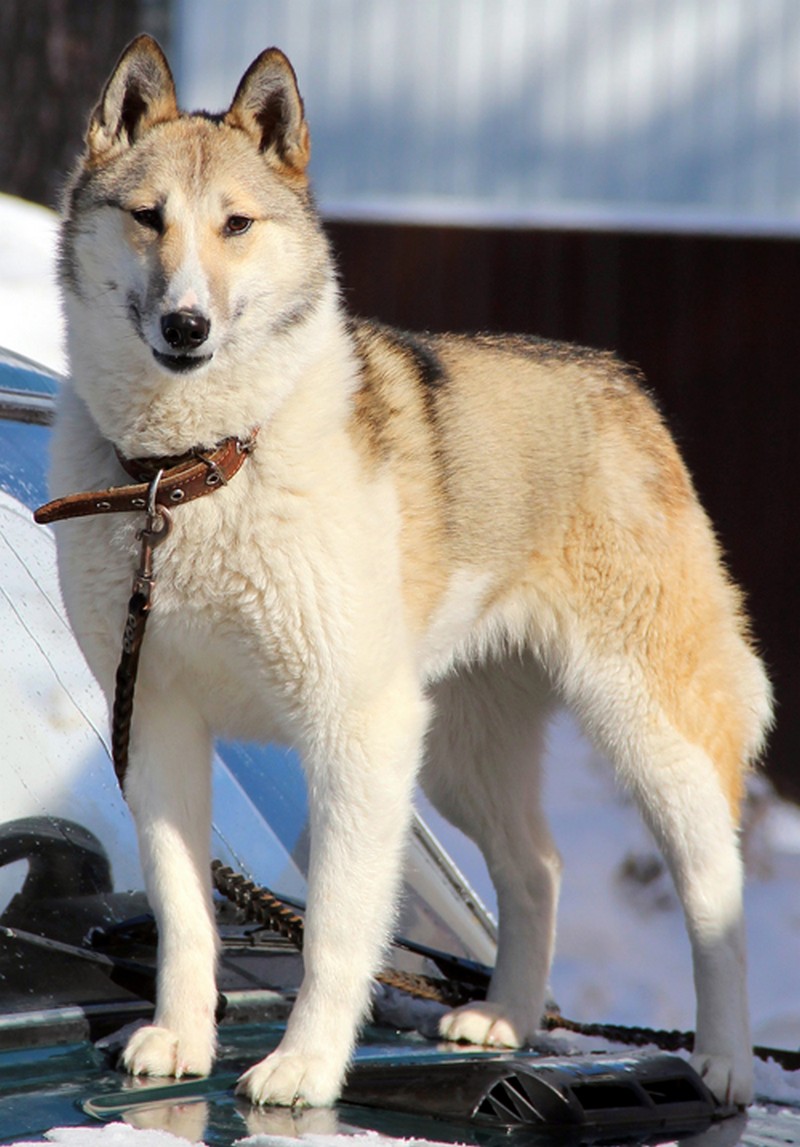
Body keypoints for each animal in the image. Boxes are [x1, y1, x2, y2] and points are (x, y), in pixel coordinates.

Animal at [49, 34, 771, 1108]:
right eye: (148, 219)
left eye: (236, 225)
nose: (186, 326)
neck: (193, 470)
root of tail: (623, 386)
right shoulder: (158, 724)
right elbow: (183, 912)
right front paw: (179, 1038)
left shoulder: (356, 731)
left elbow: (338, 931)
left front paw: (306, 1066)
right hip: (461, 749)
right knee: (538, 866)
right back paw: (506, 1018)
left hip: (643, 727)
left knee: (713, 886)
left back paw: (723, 1060)